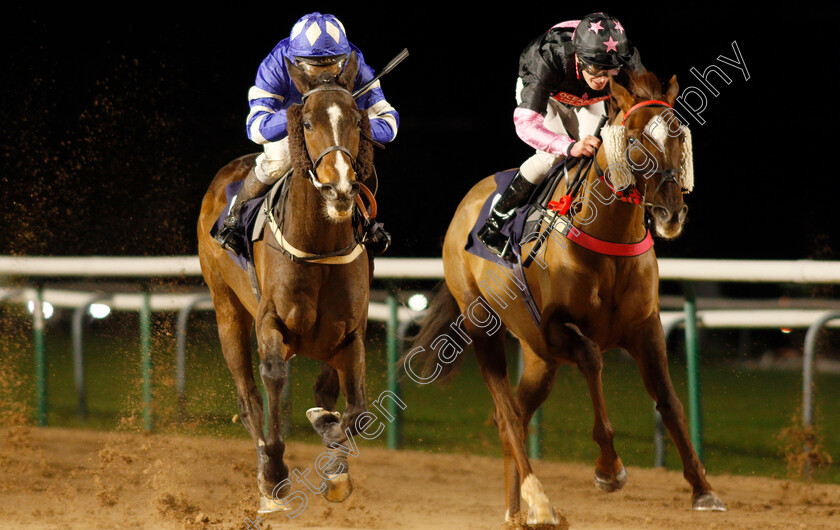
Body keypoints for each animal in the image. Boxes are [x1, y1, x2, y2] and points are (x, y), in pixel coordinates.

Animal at [197, 52, 374, 512]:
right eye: (307, 123)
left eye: (357, 119)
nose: (340, 187)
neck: (318, 246)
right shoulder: (270, 321)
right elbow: (273, 375)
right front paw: (274, 474)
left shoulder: (351, 334)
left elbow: (356, 411)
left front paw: (334, 460)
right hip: (226, 310)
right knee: (248, 397)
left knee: (325, 389)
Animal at [406, 72, 720, 524]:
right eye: (635, 139)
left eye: (679, 135)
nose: (670, 213)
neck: (608, 238)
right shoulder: (555, 327)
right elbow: (592, 357)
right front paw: (609, 468)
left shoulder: (646, 327)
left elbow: (670, 401)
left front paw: (703, 488)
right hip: (485, 327)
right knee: (508, 416)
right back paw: (540, 500)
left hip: (539, 358)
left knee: (516, 414)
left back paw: (516, 512)